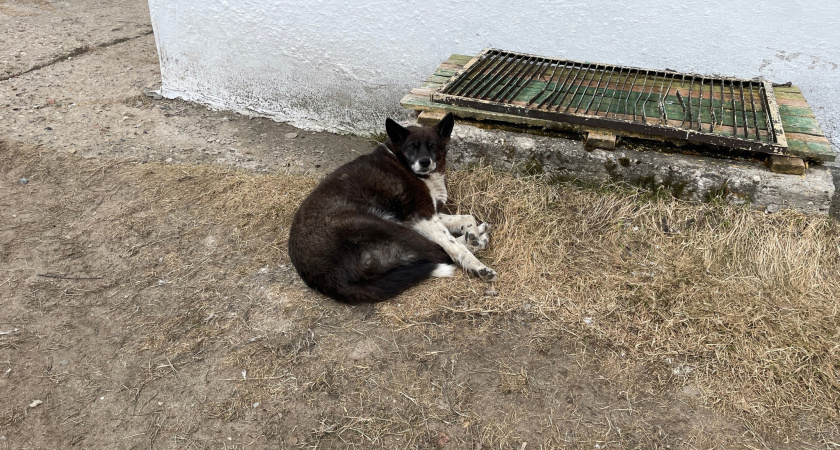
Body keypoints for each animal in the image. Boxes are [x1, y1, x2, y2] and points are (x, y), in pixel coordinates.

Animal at [290, 112, 498, 304]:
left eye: (433, 145)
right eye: (412, 147)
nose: (424, 162)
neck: (401, 160)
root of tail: (327, 279)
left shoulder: (427, 214)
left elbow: (466, 218)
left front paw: (473, 231)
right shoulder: (421, 215)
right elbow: (452, 246)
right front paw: (477, 265)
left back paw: (478, 235)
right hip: (387, 227)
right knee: (437, 251)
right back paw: (478, 244)